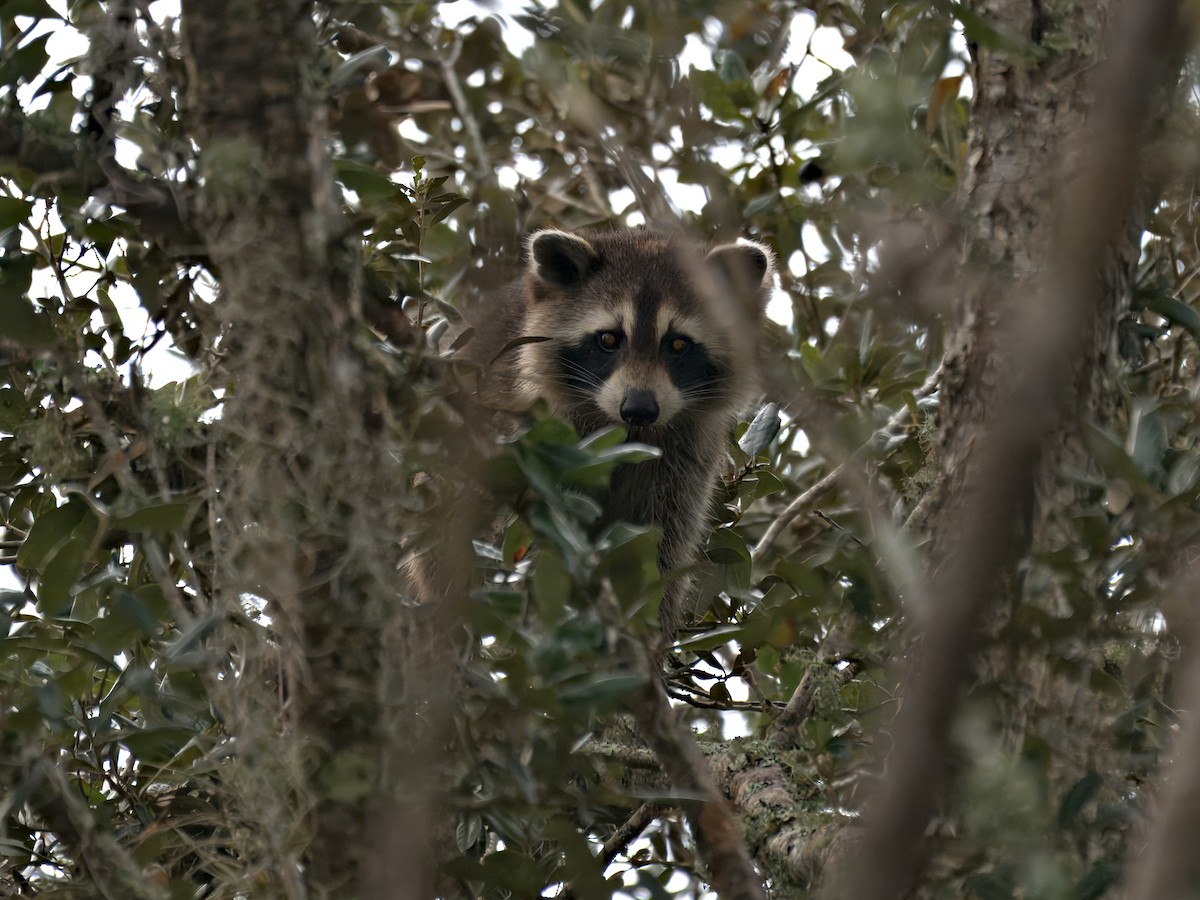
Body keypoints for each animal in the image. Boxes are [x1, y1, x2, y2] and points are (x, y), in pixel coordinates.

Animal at [465, 228, 774, 633]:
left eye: (678, 344)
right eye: (609, 339)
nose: (639, 409)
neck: (630, 437)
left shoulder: (684, 466)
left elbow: (663, 550)